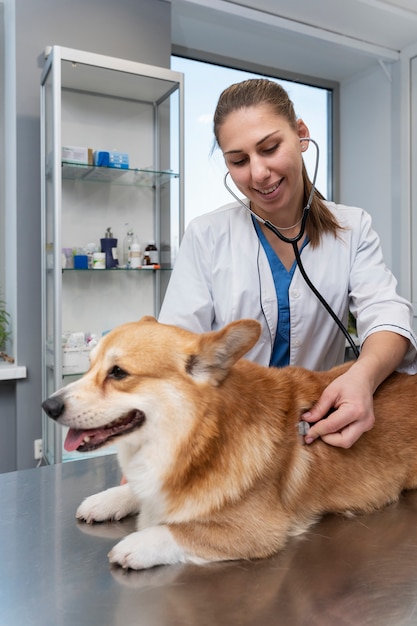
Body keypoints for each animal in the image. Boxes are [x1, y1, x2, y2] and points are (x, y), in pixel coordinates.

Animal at [40, 314, 416, 568]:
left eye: (118, 373)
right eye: (89, 367)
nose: (48, 406)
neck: (197, 438)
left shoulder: (259, 530)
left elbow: (178, 531)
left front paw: (136, 543)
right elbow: (140, 489)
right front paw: (106, 500)